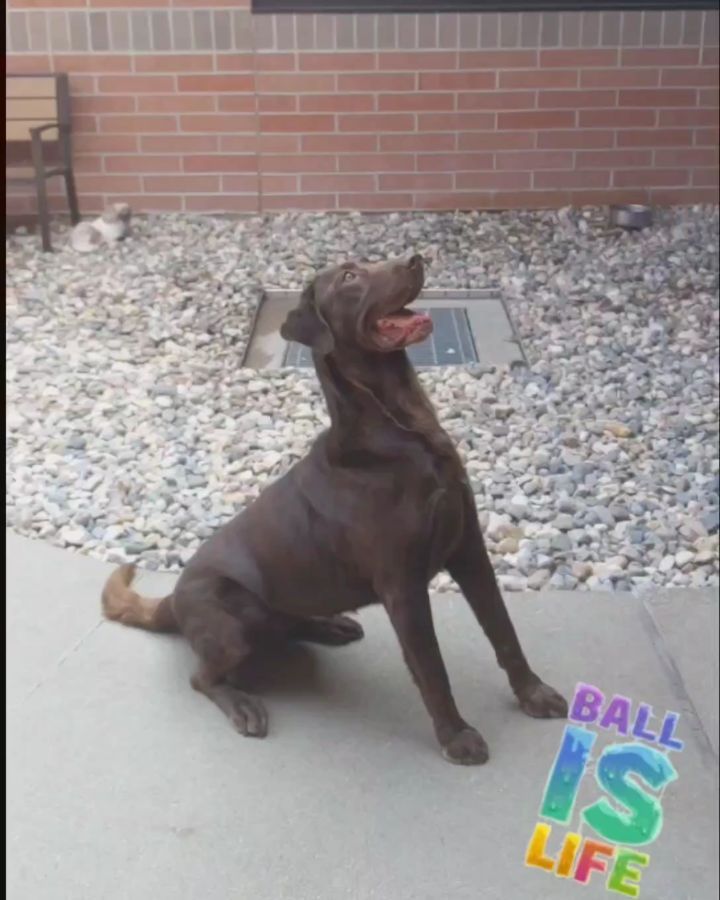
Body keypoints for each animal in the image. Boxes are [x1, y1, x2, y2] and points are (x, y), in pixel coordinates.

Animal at [102, 255, 568, 768]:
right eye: (349, 277)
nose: (416, 258)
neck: (406, 427)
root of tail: (172, 597)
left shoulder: (468, 549)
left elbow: (503, 629)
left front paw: (533, 694)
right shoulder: (402, 584)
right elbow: (431, 667)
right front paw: (456, 736)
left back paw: (330, 624)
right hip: (231, 622)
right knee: (202, 677)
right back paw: (243, 703)